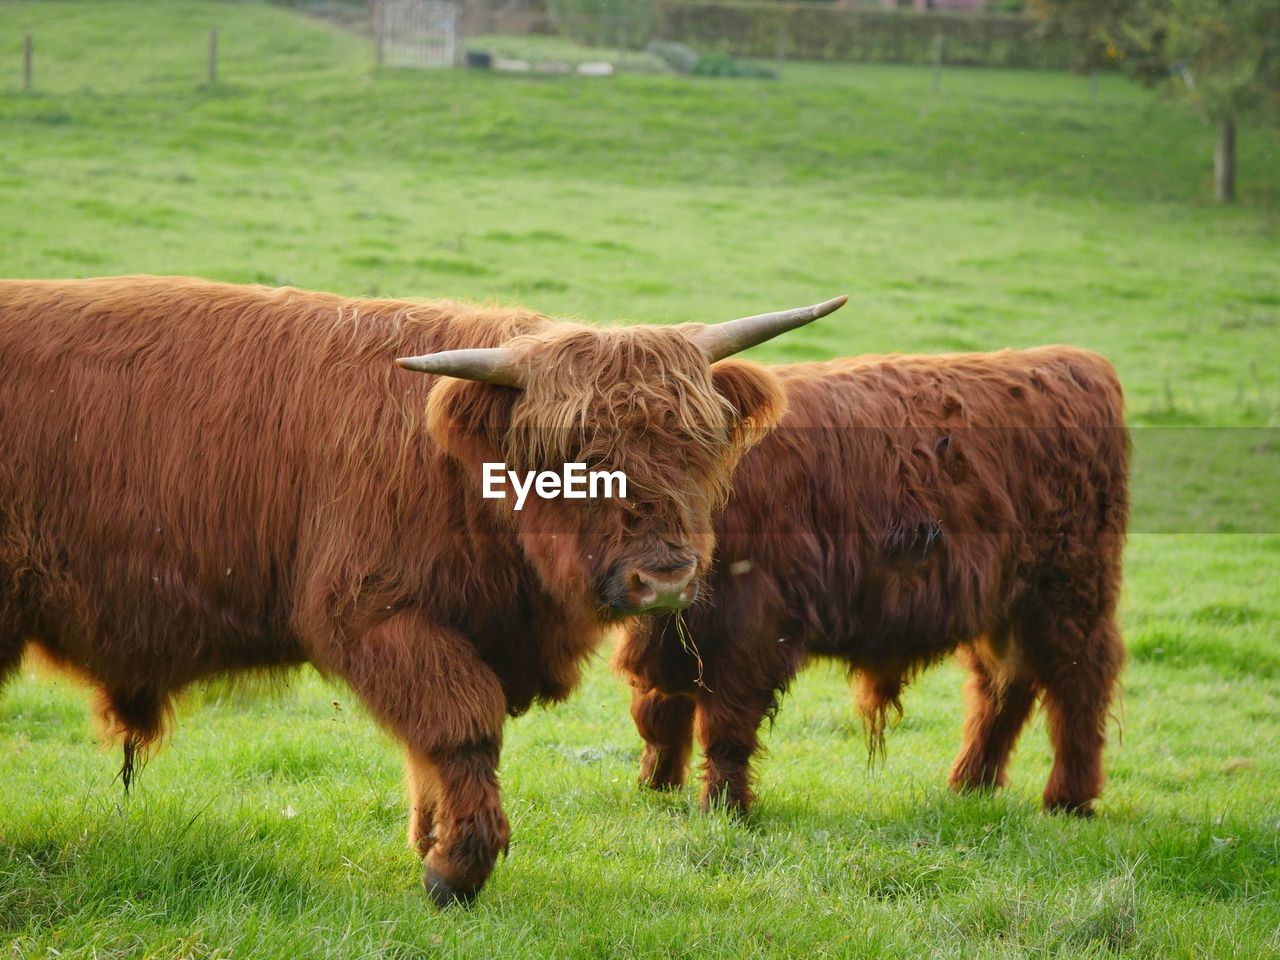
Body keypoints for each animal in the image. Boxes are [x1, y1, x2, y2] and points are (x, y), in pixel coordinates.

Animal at [0, 276, 844, 901]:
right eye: (576, 454)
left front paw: (429, 840)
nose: (663, 577)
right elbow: (460, 725)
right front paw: (457, 868)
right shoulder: (378, 615)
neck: (464, 477)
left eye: (698, 444)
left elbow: (430, 746)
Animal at [619, 350, 1131, 824]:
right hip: (1006, 601)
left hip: (1070, 589)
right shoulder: (665, 635)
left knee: (1079, 680)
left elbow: (725, 727)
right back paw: (971, 784)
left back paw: (1068, 799)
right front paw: (656, 786)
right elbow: (658, 715)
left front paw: (725, 808)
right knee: (1004, 683)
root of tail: (1076, 362)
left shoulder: (750, 628)